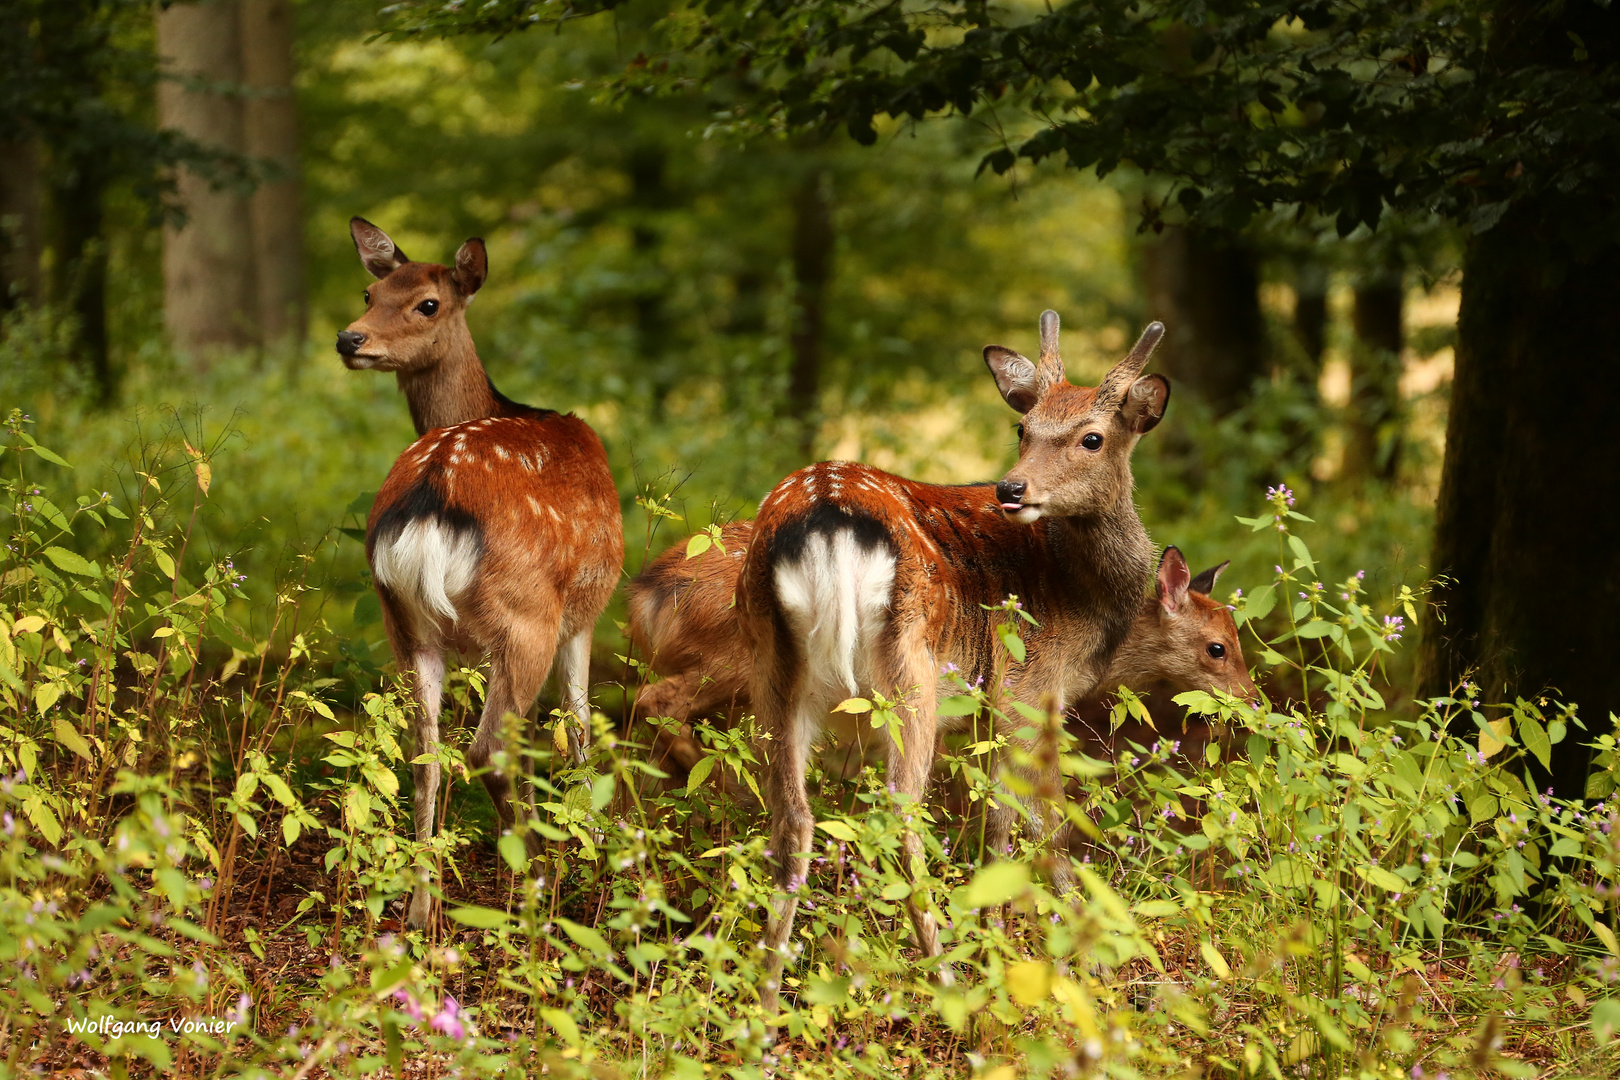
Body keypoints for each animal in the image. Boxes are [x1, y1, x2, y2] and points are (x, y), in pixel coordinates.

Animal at [338, 216, 622, 932]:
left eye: (425, 303)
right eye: (369, 292)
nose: (350, 338)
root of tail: (430, 499)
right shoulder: (586, 610)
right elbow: (579, 725)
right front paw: (594, 842)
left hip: (404, 625)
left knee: (425, 752)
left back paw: (420, 908)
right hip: (527, 617)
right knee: (488, 751)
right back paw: (535, 886)